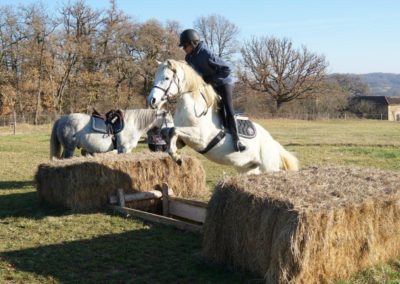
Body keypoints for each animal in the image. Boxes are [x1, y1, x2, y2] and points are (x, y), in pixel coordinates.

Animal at [147, 59, 296, 173]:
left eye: (166, 78)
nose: (152, 100)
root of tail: (274, 144)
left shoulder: (200, 138)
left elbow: (174, 130)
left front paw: (177, 157)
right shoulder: (183, 140)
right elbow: (167, 132)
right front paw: (174, 154)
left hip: (268, 168)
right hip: (248, 169)